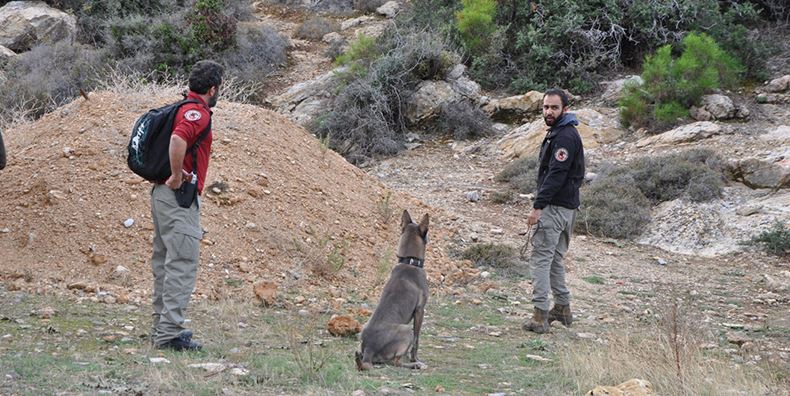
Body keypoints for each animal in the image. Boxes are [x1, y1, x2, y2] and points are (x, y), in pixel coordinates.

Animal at [358, 210, 434, 372]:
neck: (410, 261)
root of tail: (369, 348)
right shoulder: (420, 310)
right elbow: (417, 341)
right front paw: (415, 359)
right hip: (406, 330)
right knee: (396, 362)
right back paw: (416, 365)